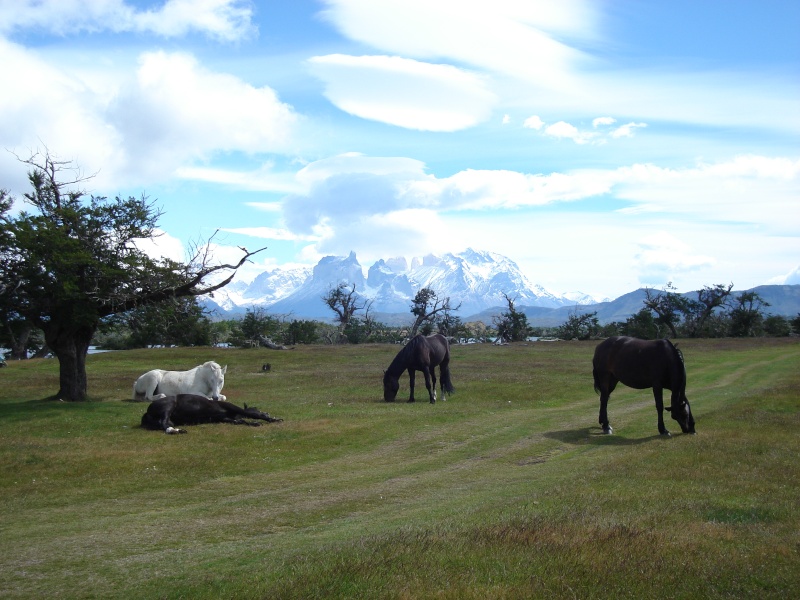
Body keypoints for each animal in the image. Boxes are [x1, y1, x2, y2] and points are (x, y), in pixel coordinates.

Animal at [142, 392, 282, 434]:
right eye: (257, 408)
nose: (267, 412)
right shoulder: (233, 408)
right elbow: (251, 415)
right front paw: (273, 419)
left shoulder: (224, 418)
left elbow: (240, 421)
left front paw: (254, 424)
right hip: (168, 406)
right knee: (164, 423)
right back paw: (176, 430)